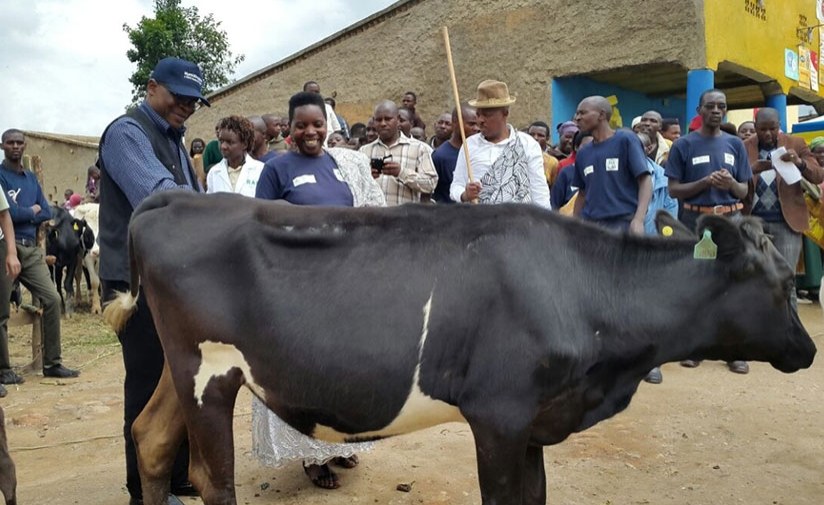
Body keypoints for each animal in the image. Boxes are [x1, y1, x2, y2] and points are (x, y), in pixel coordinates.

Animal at [104, 191, 816, 504]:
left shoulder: (535, 420)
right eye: (783, 284)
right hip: (208, 370)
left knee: (151, 438)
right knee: (210, 476)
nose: (809, 352)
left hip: (182, 365)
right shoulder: (499, 415)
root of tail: (175, 195)